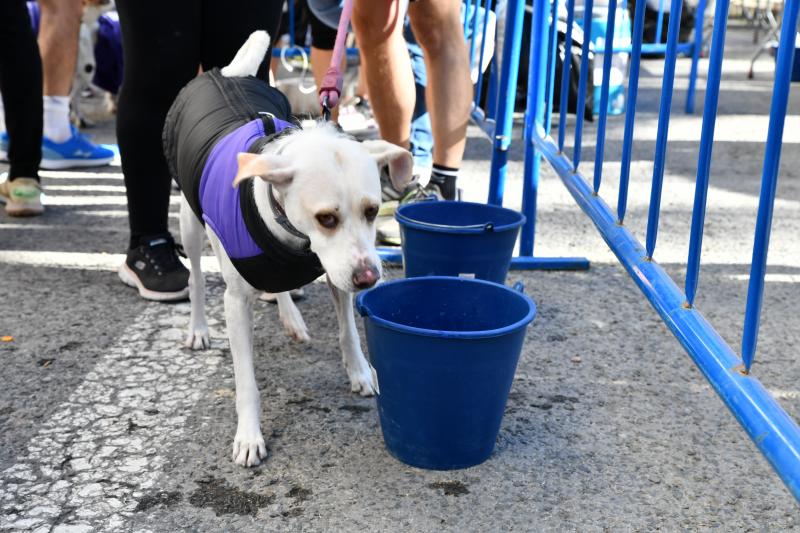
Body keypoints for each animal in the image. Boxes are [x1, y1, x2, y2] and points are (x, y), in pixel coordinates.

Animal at [163, 32, 412, 466]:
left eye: (371, 210)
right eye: (326, 218)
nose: (368, 279)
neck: (294, 235)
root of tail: (227, 74)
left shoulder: (335, 272)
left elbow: (348, 332)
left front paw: (361, 372)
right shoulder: (236, 303)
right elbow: (246, 381)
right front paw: (249, 435)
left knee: (276, 283)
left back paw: (291, 316)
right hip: (190, 224)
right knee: (195, 277)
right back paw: (198, 328)